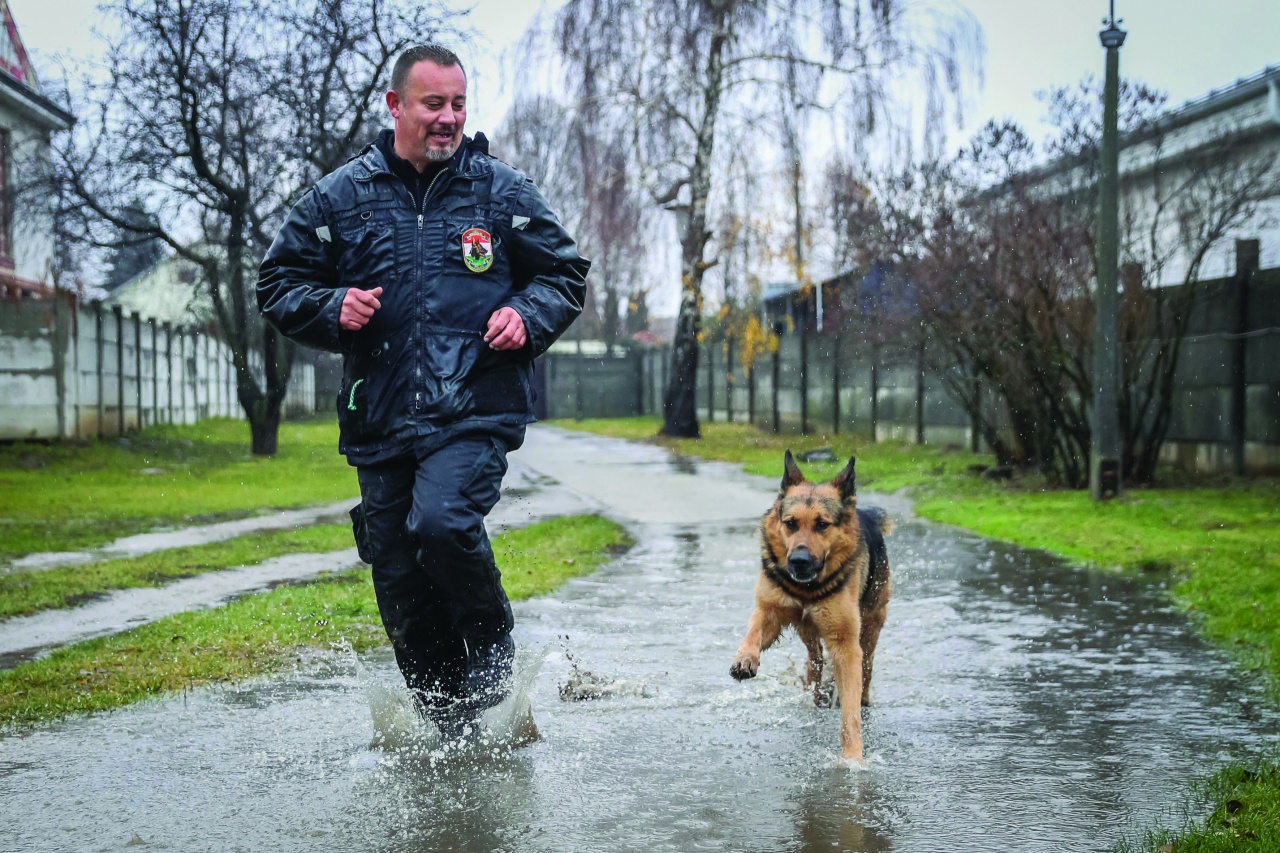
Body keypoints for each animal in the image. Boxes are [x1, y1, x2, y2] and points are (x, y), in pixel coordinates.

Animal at [732, 448, 890, 758]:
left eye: (822, 524)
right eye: (791, 523)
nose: (799, 560)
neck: (807, 589)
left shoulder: (845, 643)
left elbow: (850, 709)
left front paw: (853, 757)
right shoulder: (770, 611)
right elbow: (754, 629)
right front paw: (744, 658)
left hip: (871, 624)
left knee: (866, 667)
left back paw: (861, 698)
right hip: (808, 631)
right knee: (814, 661)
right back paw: (817, 693)